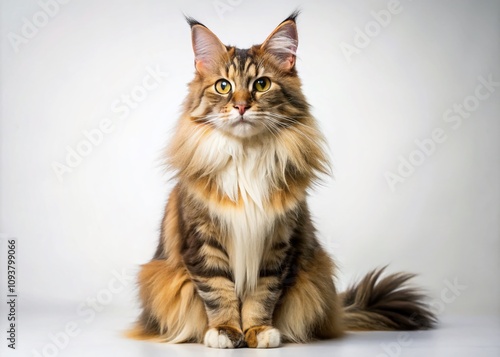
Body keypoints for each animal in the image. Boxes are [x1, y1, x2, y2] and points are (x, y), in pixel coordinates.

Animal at [127, 11, 436, 348]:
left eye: (261, 84)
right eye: (223, 86)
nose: (241, 106)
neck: (246, 156)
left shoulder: (278, 243)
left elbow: (262, 295)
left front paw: (257, 332)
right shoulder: (203, 241)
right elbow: (218, 292)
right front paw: (225, 331)